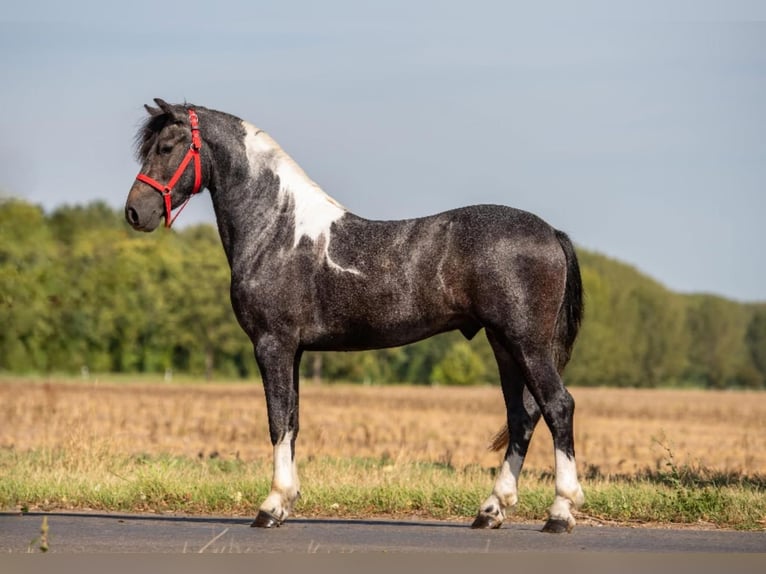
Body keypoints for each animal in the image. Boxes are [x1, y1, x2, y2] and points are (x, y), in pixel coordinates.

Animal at [125, 98, 585, 533]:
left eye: (166, 147)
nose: (135, 213)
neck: (278, 230)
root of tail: (551, 233)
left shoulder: (272, 344)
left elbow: (277, 421)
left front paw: (271, 507)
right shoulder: (294, 351)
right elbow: (292, 420)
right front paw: (287, 501)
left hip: (526, 344)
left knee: (557, 406)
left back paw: (560, 512)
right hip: (503, 343)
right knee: (522, 416)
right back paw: (491, 510)